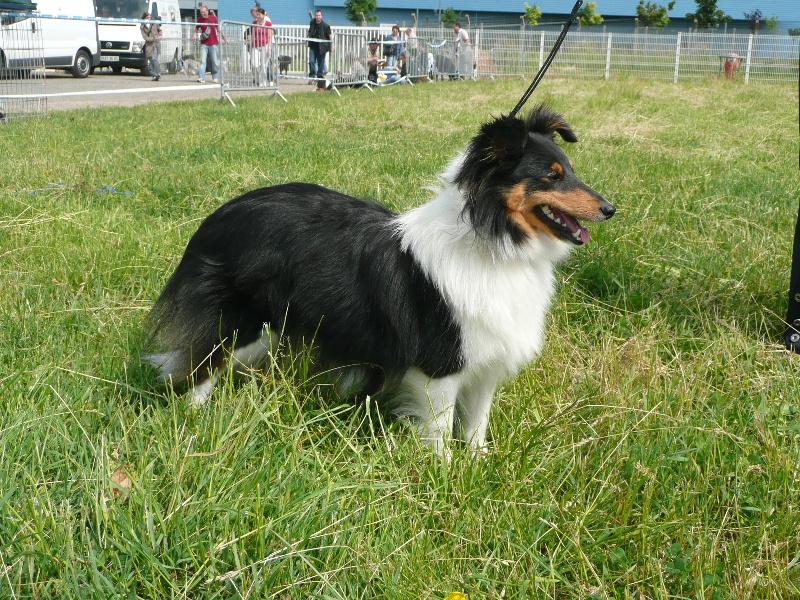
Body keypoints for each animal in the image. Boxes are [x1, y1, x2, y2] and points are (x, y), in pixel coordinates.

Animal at [144, 106, 616, 454]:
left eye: (571, 170)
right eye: (552, 175)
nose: (610, 209)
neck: (493, 240)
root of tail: (219, 216)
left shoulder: (484, 361)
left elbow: (476, 425)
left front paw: (479, 465)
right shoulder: (442, 363)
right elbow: (440, 430)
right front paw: (443, 475)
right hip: (242, 322)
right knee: (196, 364)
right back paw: (196, 419)